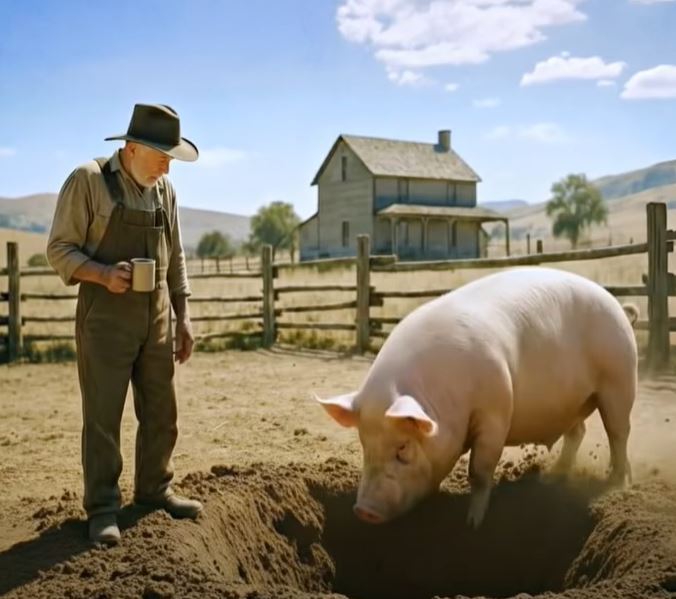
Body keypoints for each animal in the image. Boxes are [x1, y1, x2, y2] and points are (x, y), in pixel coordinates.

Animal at [315, 267, 637, 529]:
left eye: (403, 447)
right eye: (364, 444)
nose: (363, 510)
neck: (442, 398)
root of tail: (618, 305)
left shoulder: (495, 410)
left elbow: (480, 470)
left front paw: (472, 524)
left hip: (619, 380)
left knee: (618, 432)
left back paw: (616, 484)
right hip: (572, 403)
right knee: (578, 432)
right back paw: (552, 477)